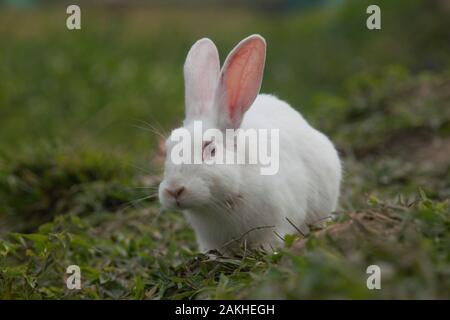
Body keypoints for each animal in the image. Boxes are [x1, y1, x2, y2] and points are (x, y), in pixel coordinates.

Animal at [158, 35, 342, 254]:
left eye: (211, 149)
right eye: (168, 147)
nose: (174, 190)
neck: (221, 201)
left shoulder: (276, 222)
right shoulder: (209, 239)